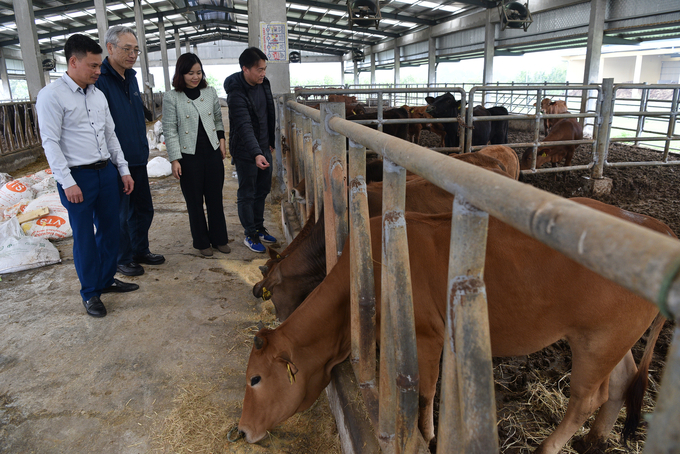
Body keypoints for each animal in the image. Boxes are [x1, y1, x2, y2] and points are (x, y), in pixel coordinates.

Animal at [238, 200, 668, 452]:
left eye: (255, 379)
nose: (241, 431)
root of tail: (656, 225)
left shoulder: (427, 333)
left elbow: (426, 392)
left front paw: (428, 436)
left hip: (597, 341)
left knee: (584, 399)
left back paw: (550, 447)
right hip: (611, 340)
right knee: (620, 382)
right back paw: (594, 441)